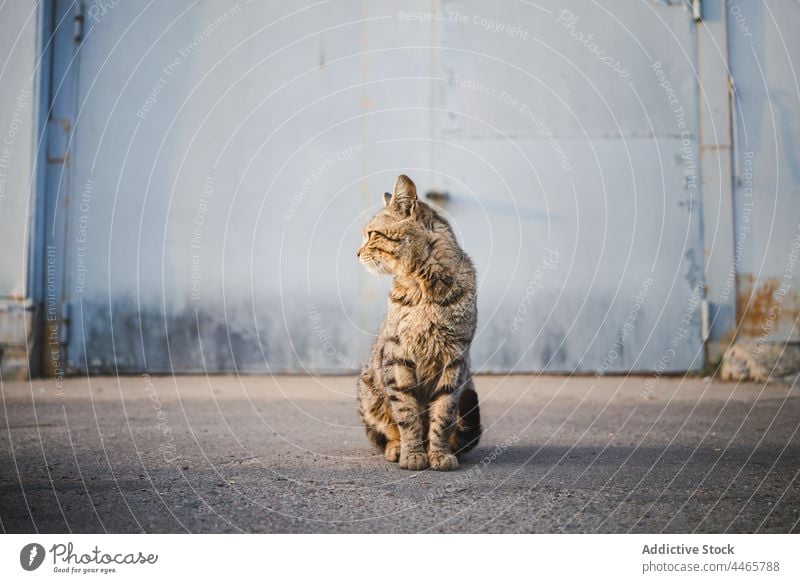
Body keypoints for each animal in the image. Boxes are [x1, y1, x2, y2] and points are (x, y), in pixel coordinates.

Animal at [356, 176, 482, 472]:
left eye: (372, 234)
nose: (356, 252)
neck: (425, 288)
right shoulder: (398, 358)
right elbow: (407, 415)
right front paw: (413, 454)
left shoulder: (454, 360)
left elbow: (442, 415)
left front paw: (439, 454)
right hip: (368, 386)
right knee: (386, 431)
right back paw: (396, 448)